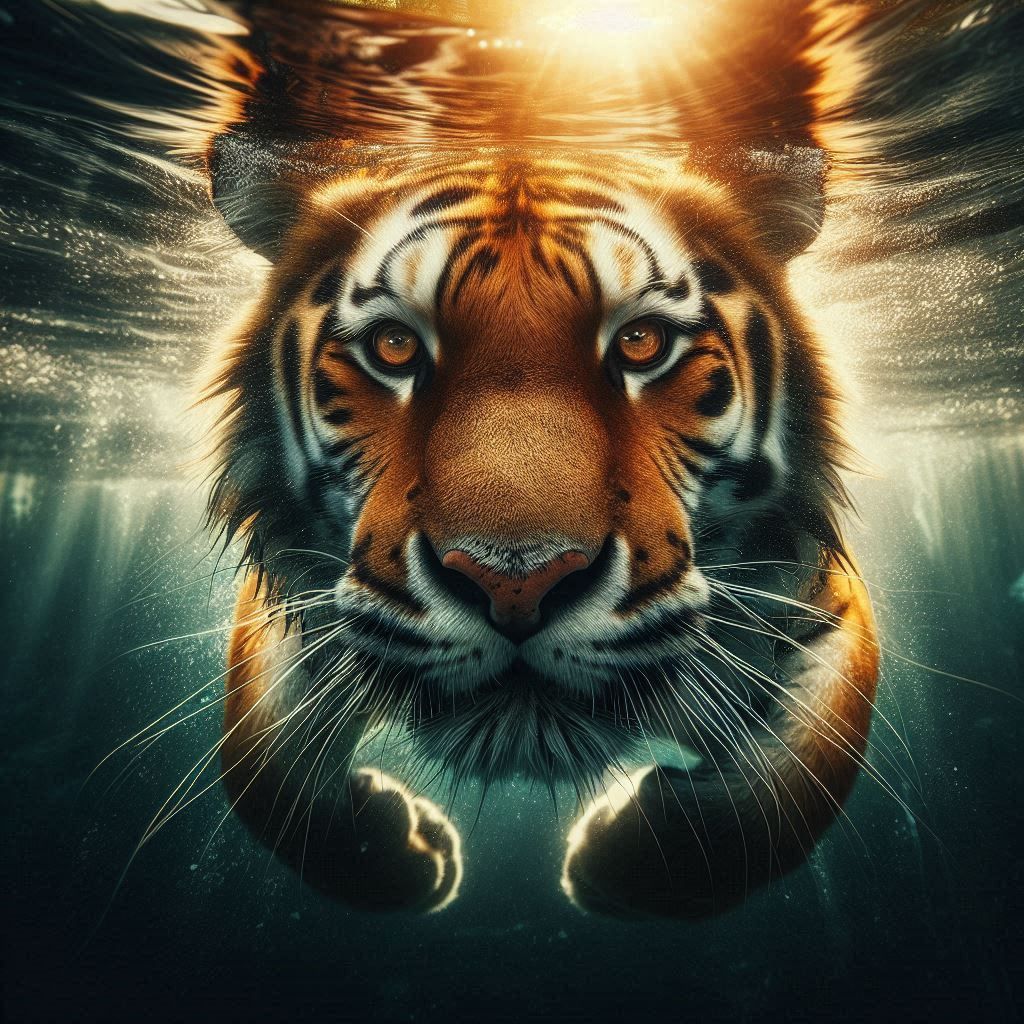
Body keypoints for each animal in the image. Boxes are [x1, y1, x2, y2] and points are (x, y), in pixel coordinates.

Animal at [192, 1, 882, 917]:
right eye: (393, 347)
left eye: (641, 342)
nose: (515, 581)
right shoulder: (295, 608)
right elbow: (262, 775)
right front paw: (406, 856)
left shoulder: (819, 599)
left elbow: (791, 789)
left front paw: (628, 860)